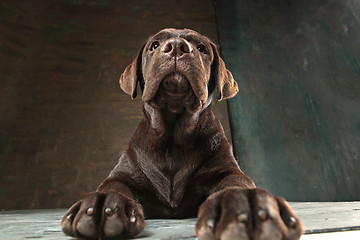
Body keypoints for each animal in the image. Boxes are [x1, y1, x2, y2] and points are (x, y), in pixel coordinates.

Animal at [60, 28, 302, 240]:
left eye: (202, 47)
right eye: (154, 45)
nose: (177, 46)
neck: (172, 139)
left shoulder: (227, 170)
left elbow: (236, 183)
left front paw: (244, 204)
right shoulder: (123, 174)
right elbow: (114, 186)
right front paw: (103, 205)